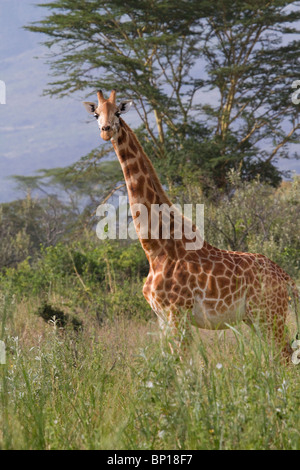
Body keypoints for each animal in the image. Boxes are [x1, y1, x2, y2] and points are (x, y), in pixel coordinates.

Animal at [83, 91, 298, 364]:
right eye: (96, 114)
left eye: (118, 112)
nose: (106, 130)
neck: (155, 248)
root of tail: (286, 277)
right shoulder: (161, 317)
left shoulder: (177, 312)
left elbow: (184, 365)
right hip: (255, 317)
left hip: (269, 313)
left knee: (285, 356)